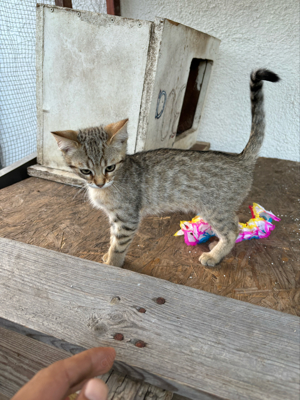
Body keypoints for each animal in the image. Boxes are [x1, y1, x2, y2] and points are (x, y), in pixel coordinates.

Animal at [51, 69, 278, 268]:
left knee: (233, 229)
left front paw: (112, 264)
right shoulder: (115, 218)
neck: (110, 186)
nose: (99, 183)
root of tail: (241, 158)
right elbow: (112, 239)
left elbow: (119, 245)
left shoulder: (127, 217)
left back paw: (214, 256)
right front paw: (108, 255)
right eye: (85, 171)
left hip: (215, 209)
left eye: (110, 167)